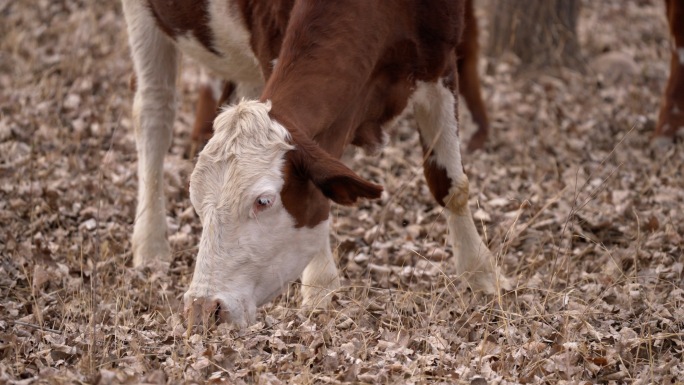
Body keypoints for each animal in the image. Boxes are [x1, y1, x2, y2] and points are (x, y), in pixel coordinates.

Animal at [121, 0, 508, 328]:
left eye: (264, 201)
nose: (204, 308)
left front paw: (480, 273)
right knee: (154, 112)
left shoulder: (439, 61)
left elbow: (449, 185)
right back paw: (150, 245)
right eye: (198, 206)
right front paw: (321, 288)